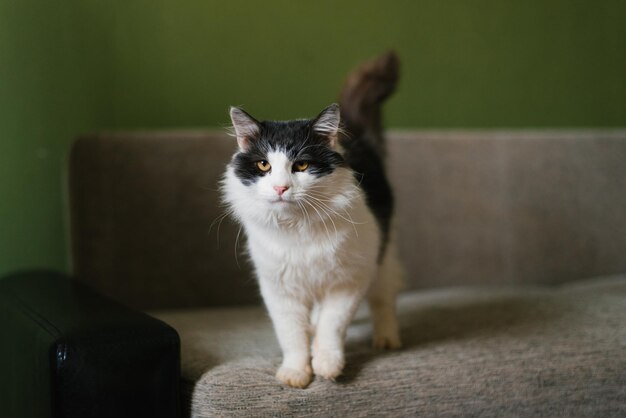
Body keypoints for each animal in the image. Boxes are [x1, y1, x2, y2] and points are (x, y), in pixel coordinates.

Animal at [222, 52, 402, 388]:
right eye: (264, 165)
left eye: (302, 165)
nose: (281, 188)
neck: (298, 229)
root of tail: (355, 136)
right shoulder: (279, 288)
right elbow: (292, 335)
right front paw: (296, 372)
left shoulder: (350, 280)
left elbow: (332, 326)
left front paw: (327, 365)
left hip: (382, 255)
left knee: (384, 299)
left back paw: (387, 339)